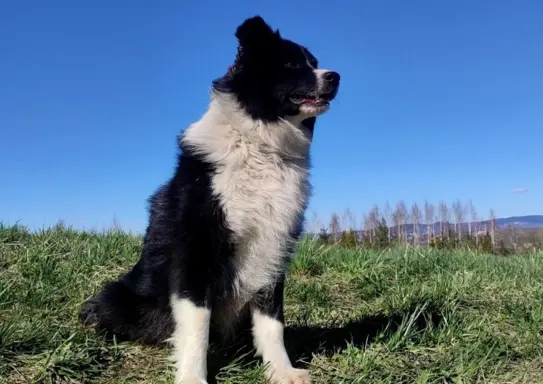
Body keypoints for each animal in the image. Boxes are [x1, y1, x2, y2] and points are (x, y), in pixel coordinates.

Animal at [81, 15, 340, 384]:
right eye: (291, 64)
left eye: (315, 63)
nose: (335, 77)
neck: (258, 145)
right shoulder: (196, 251)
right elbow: (196, 326)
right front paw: (192, 377)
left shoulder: (274, 244)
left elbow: (272, 321)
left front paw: (281, 370)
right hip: (115, 296)